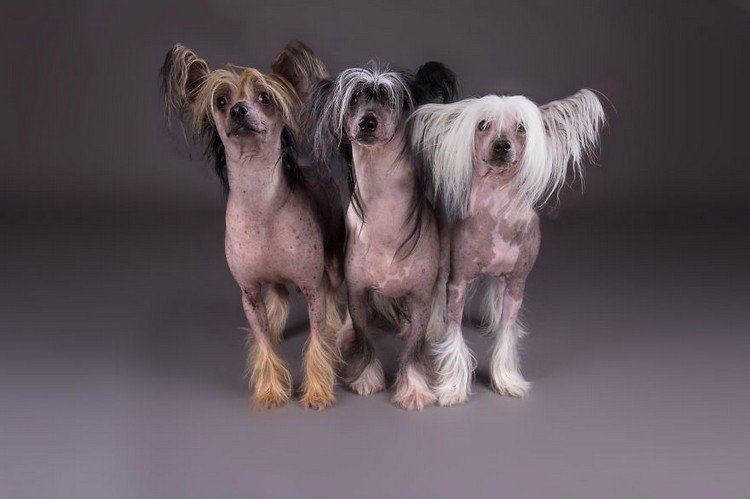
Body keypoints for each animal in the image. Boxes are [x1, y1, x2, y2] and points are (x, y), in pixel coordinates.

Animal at [160, 41, 345, 410]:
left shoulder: (313, 288)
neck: (262, 205)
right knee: (279, 296)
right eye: (221, 101)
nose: (239, 110)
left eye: (265, 98)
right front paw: (271, 389)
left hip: (332, 263)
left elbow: (317, 340)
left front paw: (317, 391)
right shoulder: (249, 294)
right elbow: (262, 342)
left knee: (334, 298)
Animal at [308, 62, 458, 410]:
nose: (367, 122)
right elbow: (364, 337)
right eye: (353, 101)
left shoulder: (419, 295)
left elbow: (415, 347)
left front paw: (414, 389)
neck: (385, 216)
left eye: (391, 101)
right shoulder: (358, 291)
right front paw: (367, 378)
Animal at [410, 89, 605, 405]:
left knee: (496, 291)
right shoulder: (458, 283)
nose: (502, 145)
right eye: (483, 125)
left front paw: (506, 378)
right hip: (441, 256)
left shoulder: (516, 282)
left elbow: (506, 330)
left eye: (522, 128)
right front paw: (452, 387)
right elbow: (455, 334)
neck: (498, 212)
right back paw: (434, 327)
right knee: (438, 288)